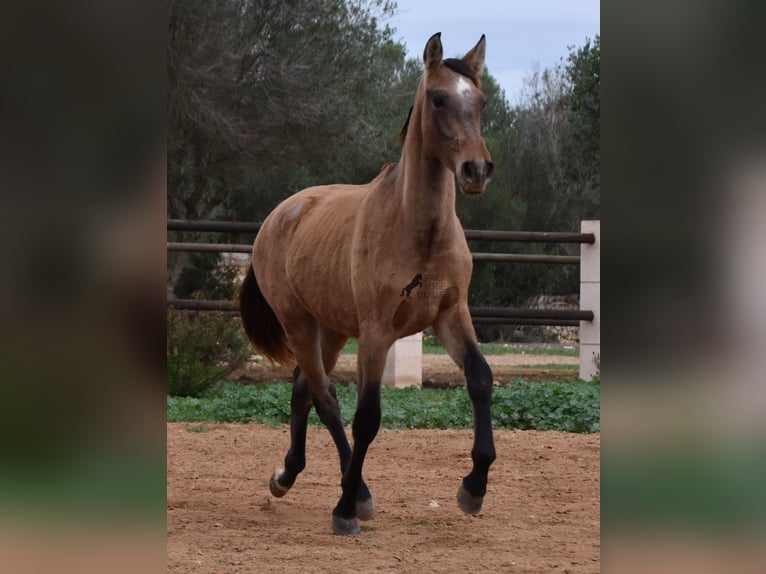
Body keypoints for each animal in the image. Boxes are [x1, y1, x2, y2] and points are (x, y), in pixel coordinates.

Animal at [243, 32, 500, 536]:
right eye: (438, 98)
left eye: (480, 101)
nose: (476, 170)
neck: (419, 231)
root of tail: (281, 214)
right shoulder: (378, 332)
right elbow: (367, 417)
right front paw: (344, 510)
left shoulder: (451, 314)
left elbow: (480, 378)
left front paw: (474, 488)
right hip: (300, 324)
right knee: (325, 398)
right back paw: (354, 494)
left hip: (331, 329)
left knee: (304, 391)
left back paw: (288, 476)